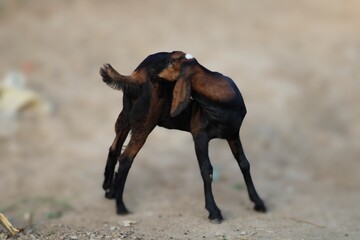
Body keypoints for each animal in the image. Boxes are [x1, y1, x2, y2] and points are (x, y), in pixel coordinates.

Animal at [100, 51, 266, 223]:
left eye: (171, 63)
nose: (153, 74)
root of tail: (135, 77)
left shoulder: (233, 134)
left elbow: (244, 163)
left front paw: (259, 203)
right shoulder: (200, 134)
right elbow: (206, 169)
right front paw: (214, 212)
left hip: (127, 115)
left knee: (114, 148)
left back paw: (109, 191)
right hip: (144, 122)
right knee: (126, 158)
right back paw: (121, 206)